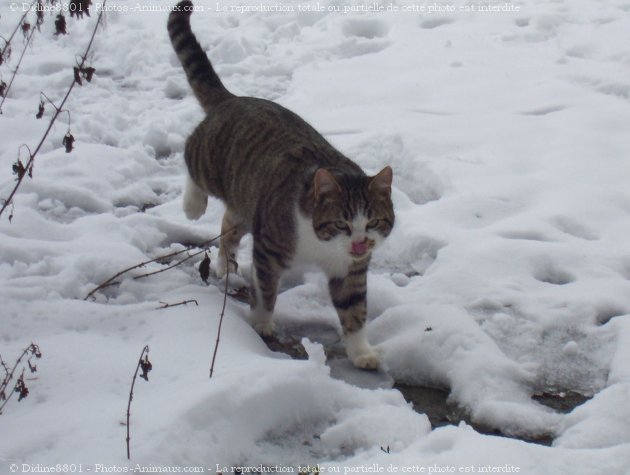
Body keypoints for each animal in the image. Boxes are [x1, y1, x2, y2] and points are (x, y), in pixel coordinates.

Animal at [168, 0, 396, 370]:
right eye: (342, 223)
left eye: (373, 221)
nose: (361, 243)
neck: (322, 246)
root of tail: (233, 99)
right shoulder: (270, 246)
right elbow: (266, 287)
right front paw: (262, 321)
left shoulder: (351, 270)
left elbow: (355, 309)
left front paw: (361, 351)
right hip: (211, 164)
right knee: (190, 155)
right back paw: (193, 204)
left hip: (248, 200)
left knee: (230, 224)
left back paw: (225, 265)